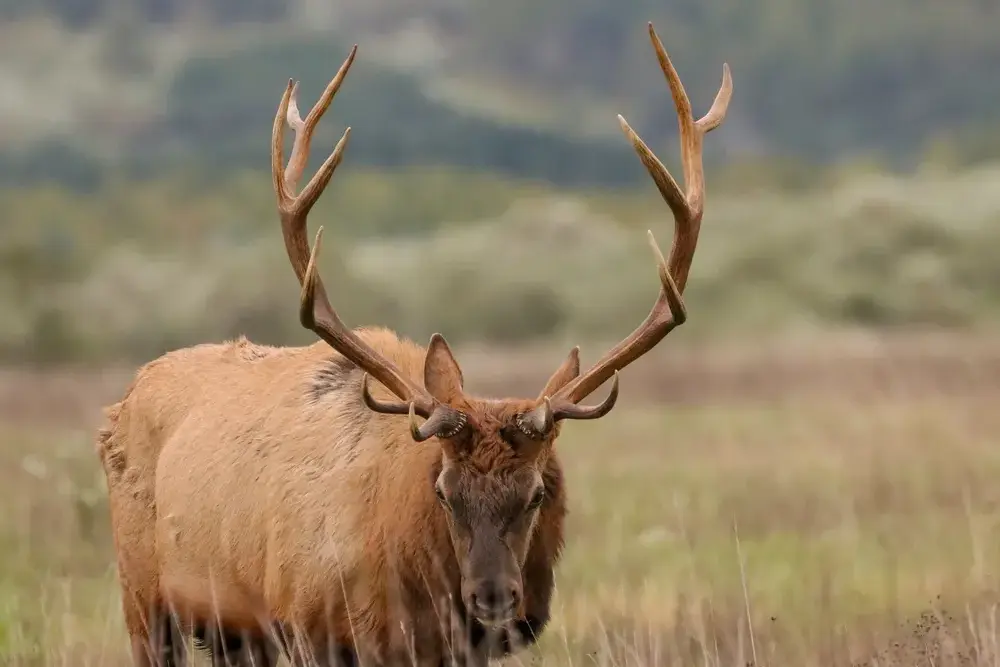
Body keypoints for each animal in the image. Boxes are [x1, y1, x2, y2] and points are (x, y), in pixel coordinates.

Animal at [95, 22, 731, 667]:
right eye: (445, 492)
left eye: (536, 493)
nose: (493, 598)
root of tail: (122, 400)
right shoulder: (308, 622)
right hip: (145, 598)